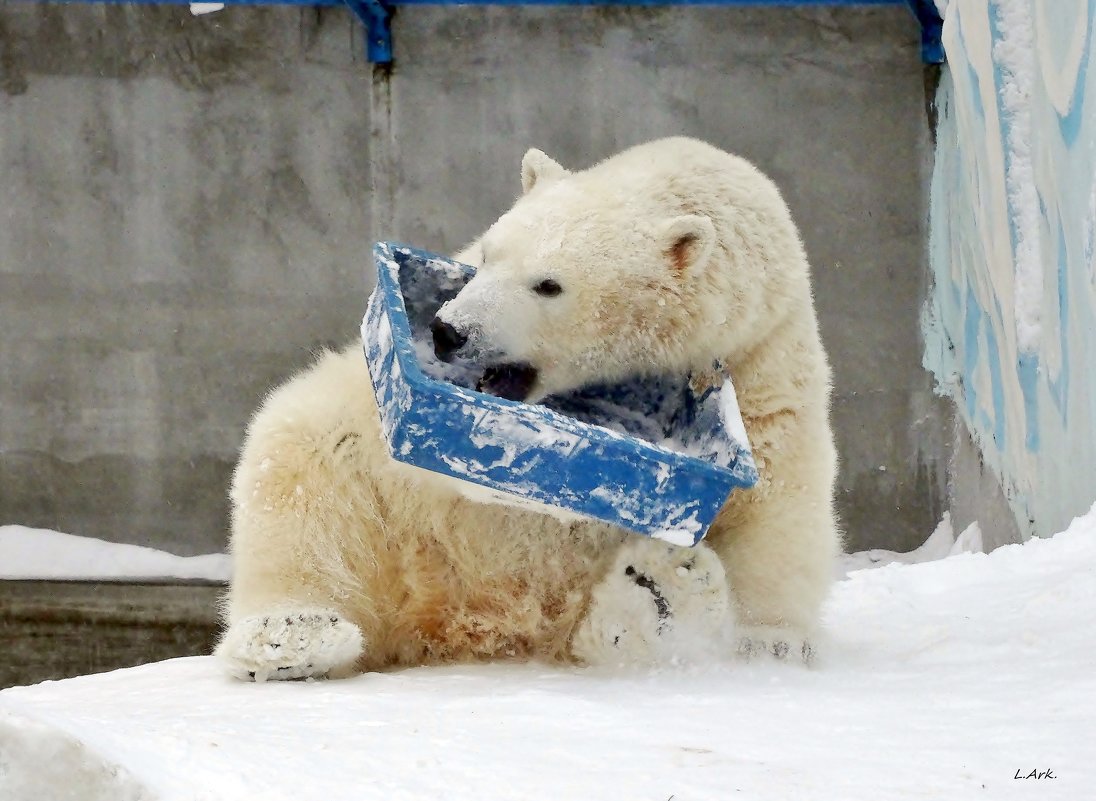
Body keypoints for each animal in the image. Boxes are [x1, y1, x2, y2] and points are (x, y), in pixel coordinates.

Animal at [218, 139, 841, 683]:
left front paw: (771, 643)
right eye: (488, 254)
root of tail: (460, 619)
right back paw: (292, 634)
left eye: (548, 285)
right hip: (369, 503)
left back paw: (659, 592)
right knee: (301, 468)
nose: (449, 331)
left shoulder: (763, 361)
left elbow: (776, 497)